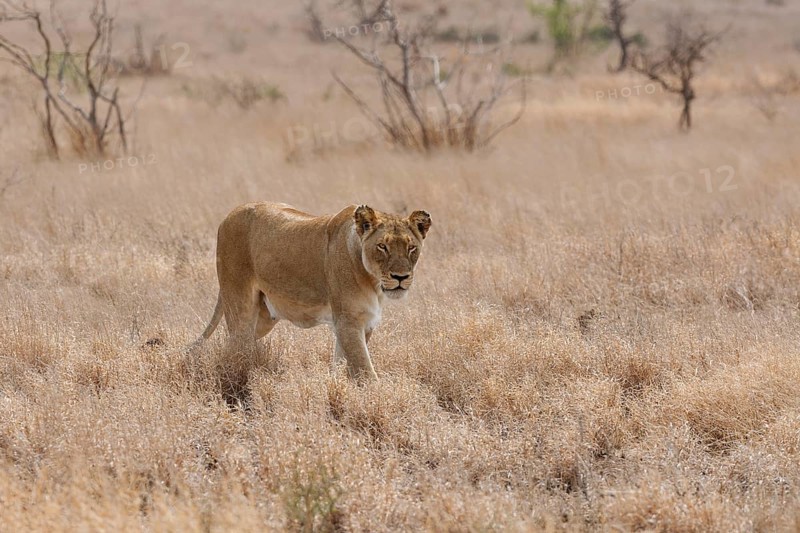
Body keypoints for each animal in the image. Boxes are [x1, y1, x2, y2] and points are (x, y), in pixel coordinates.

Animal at [194, 202, 432, 380]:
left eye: (411, 247)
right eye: (382, 246)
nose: (400, 277)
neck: (372, 281)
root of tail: (229, 215)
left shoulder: (363, 323)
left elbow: (341, 365)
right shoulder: (348, 321)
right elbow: (365, 372)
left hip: (263, 318)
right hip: (240, 310)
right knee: (234, 349)